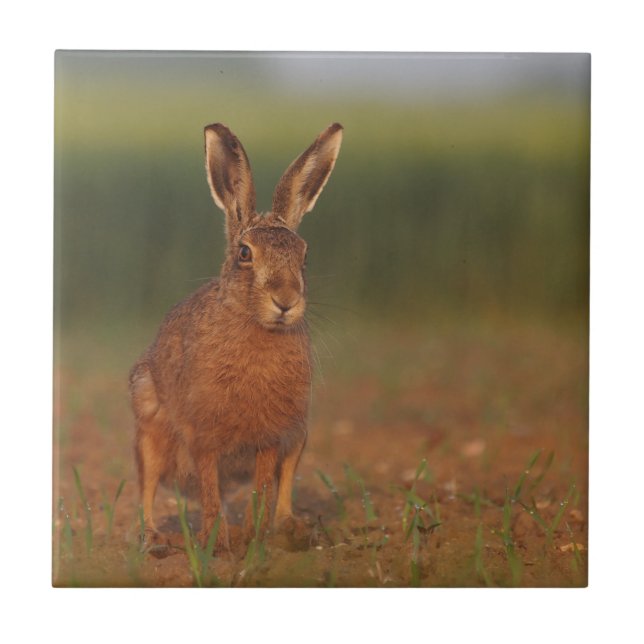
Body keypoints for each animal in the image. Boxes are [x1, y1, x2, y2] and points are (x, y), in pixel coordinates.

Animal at [129, 122, 343, 552]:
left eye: (305, 256)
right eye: (245, 254)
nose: (286, 300)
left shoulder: (271, 438)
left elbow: (263, 485)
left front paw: (253, 535)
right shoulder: (203, 434)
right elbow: (210, 485)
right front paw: (217, 540)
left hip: (300, 435)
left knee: (283, 486)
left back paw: (288, 529)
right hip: (149, 430)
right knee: (150, 486)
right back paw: (154, 539)